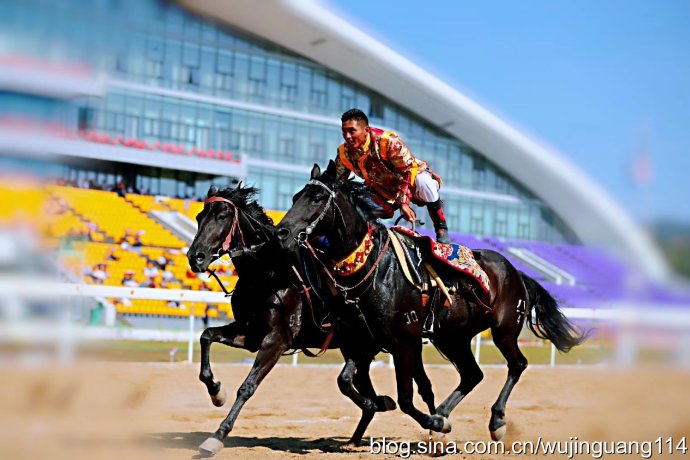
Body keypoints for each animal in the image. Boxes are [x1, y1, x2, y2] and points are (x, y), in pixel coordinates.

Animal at [187, 184, 436, 456]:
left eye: (222, 216)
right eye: (199, 217)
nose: (194, 257)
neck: (270, 273)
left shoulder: (276, 340)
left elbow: (248, 386)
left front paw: (218, 435)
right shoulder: (249, 333)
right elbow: (206, 336)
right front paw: (216, 392)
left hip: (381, 343)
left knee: (392, 384)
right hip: (360, 346)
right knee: (362, 388)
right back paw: (362, 428)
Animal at [274, 164, 580, 440]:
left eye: (316, 197)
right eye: (295, 196)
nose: (282, 233)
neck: (374, 267)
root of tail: (517, 272)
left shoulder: (404, 341)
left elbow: (406, 398)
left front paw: (431, 421)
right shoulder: (364, 340)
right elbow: (346, 382)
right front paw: (384, 404)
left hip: (503, 330)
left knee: (517, 365)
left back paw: (495, 421)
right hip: (452, 337)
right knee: (472, 375)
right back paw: (443, 413)